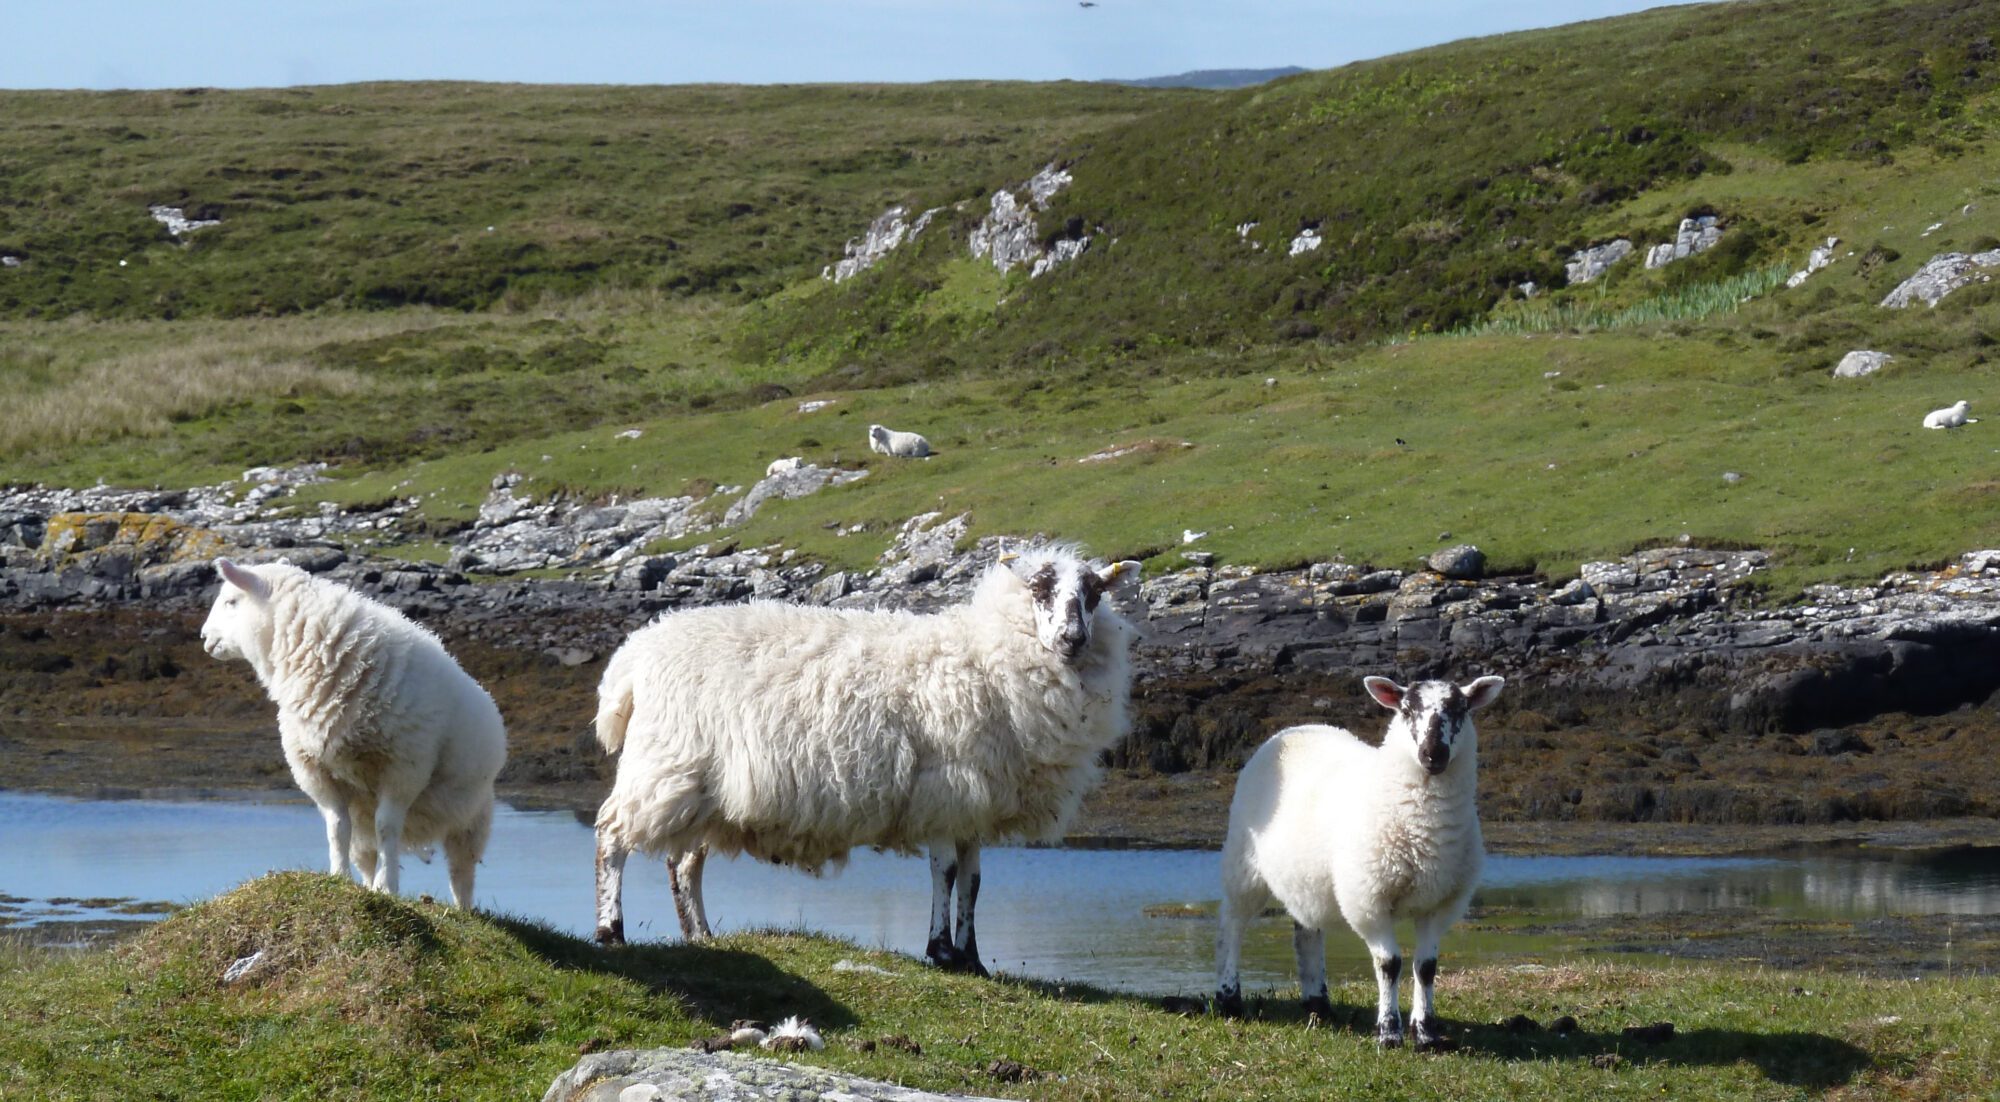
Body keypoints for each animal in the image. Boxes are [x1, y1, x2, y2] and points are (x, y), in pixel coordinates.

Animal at [200, 556, 508, 908]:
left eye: (231, 601)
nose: (204, 637)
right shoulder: (316, 769)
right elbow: (337, 828)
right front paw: (340, 878)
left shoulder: (404, 766)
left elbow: (387, 827)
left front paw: (388, 887)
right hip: (367, 816)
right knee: (366, 852)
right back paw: (366, 885)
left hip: (471, 818)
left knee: (461, 871)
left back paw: (462, 909)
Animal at [588, 544, 1144, 976]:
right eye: (1039, 590)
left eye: (1094, 594)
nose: (1073, 639)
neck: (989, 655)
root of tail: (633, 656)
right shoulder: (944, 788)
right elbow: (945, 871)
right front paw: (942, 951)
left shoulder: (976, 799)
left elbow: (973, 880)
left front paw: (973, 959)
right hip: (663, 763)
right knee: (612, 834)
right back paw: (611, 930)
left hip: (706, 789)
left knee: (684, 863)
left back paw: (702, 936)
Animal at [1208, 676, 1504, 1048]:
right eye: (1406, 710)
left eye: (1460, 709)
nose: (1433, 755)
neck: (1424, 833)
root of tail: (1298, 728)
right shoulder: (1368, 899)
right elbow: (1389, 964)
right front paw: (1389, 1033)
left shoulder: (1440, 903)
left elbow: (1426, 967)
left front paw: (1426, 1034)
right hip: (1244, 863)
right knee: (1231, 923)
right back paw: (1229, 999)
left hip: (1305, 877)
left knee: (1306, 933)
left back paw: (1318, 1005)